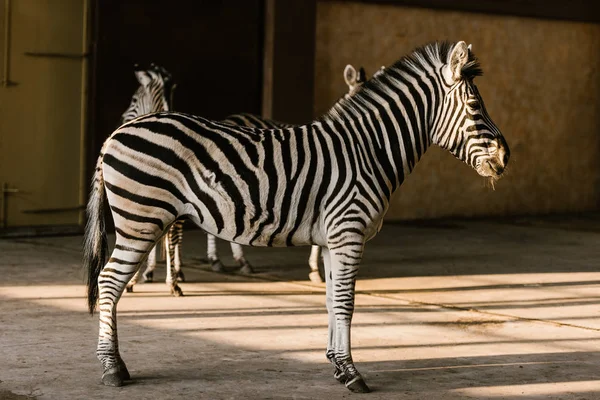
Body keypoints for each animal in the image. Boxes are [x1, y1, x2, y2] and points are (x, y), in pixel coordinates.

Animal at [83, 42, 506, 392]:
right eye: (475, 108)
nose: (506, 158)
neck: (367, 150)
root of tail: (115, 134)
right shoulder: (349, 232)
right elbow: (346, 301)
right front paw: (353, 374)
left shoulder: (335, 239)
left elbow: (332, 299)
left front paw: (337, 365)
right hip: (140, 220)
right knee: (108, 282)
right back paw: (113, 369)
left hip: (148, 219)